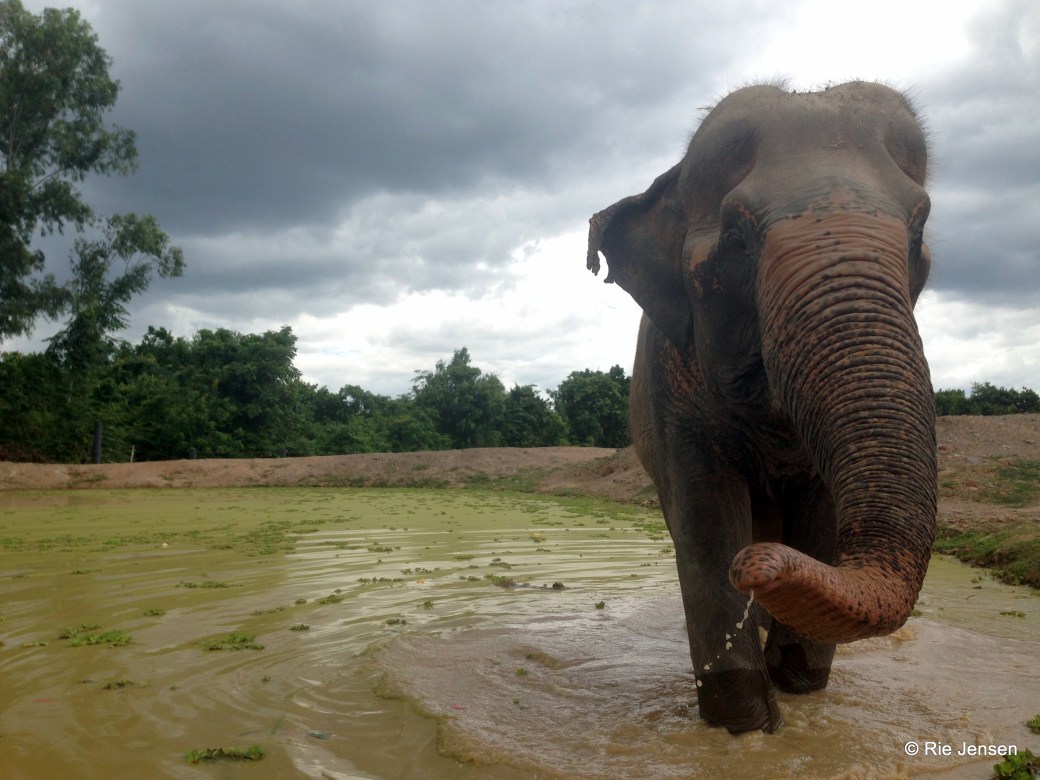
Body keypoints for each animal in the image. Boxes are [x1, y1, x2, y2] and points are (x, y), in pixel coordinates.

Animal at [585, 81, 936, 733]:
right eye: (739, 235)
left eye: (919, 230)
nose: (757, 565)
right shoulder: (674, 390)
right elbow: (706, 524)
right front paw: (746, 727)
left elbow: (822, 520)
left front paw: (799, 691)